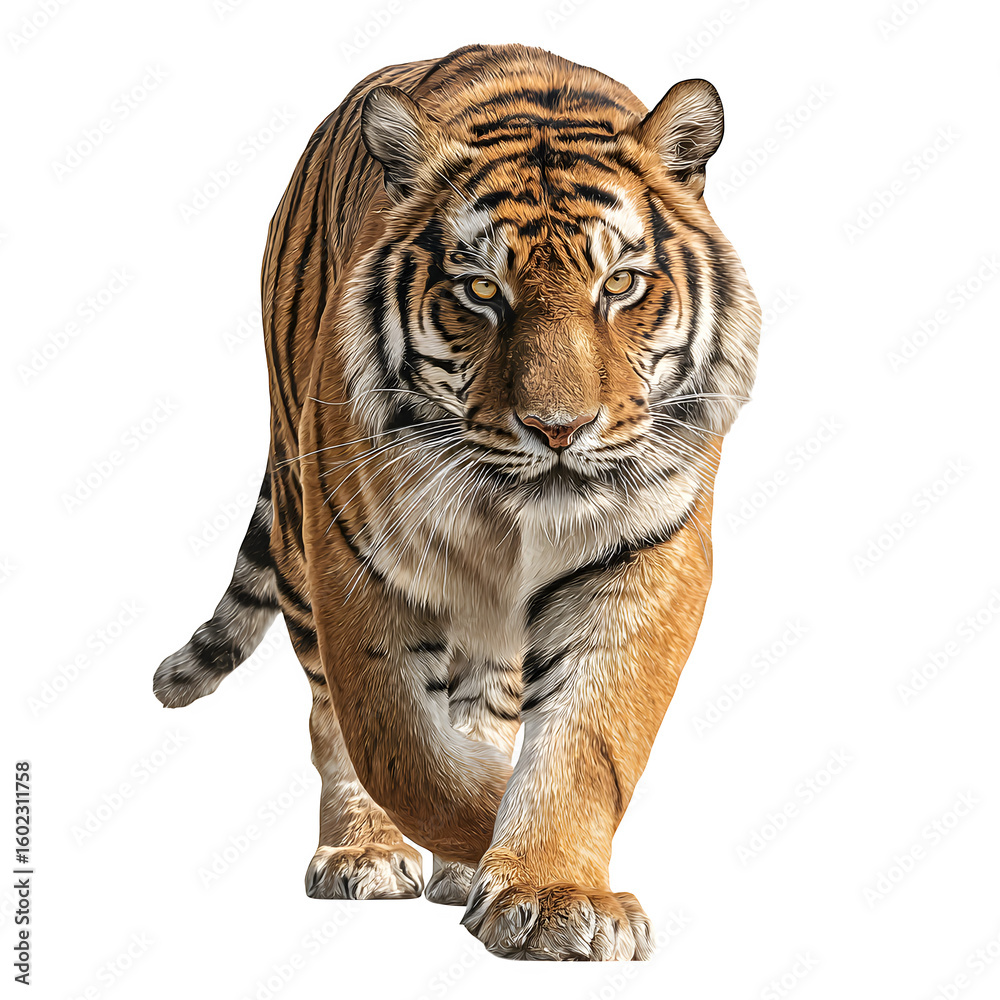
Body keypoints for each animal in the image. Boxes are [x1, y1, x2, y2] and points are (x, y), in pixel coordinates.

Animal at [153, 42, 760, 961]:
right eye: (480, 291)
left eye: (619, 284)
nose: (558, 428)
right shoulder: (357, 562)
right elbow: (397, 745)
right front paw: (486, 831)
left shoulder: (645, 553)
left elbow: (586, 739)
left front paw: (551, 890)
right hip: (298, 531)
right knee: (331, 717)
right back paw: (365, 853)